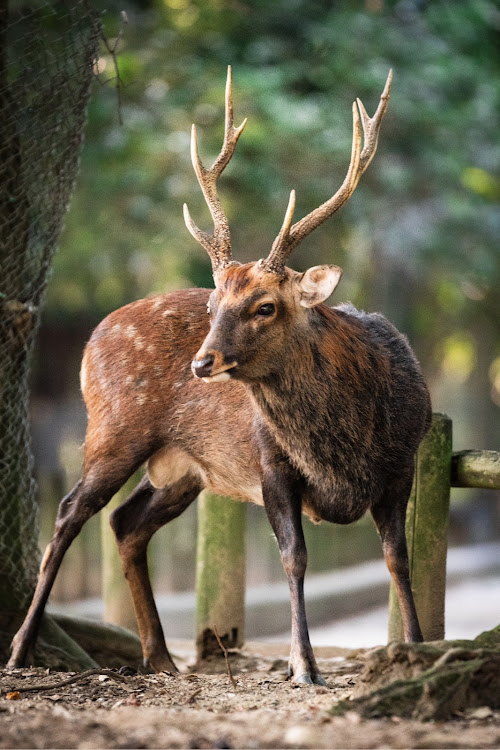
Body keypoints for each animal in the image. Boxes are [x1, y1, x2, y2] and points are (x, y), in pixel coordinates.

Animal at [6, 69, 430, 688]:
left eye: (264, 306)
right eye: (212, 306)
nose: (201, 364)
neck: (345, 443)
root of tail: (92, 338)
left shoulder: (404, 463)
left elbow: (400, 558)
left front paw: (418, 647)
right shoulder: (272, 463)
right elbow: (294, 558)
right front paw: (303, 666)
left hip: (183, 468)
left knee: (126, 523)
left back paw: (160, 657)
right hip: (114, 429)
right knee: (69, 514)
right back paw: (21, 650)